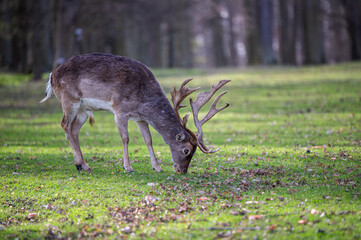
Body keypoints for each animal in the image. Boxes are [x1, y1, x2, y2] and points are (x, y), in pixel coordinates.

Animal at [40, 53, 231, 172]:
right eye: (186, 150)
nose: (182, 171)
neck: (142, 99)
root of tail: (51, 76)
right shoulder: (119, 110)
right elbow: (125, 138)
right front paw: (128, 167)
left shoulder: (140, 118)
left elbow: (149, 140)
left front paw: (157, 167)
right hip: (69, 100)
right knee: (64, 125)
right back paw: (80, 164)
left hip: (84, 110)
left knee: (73, 130)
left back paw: (84, 165)